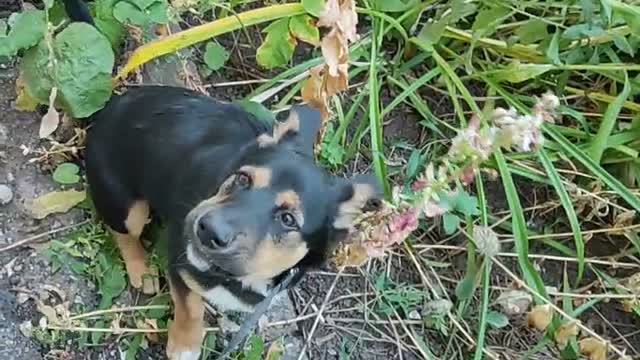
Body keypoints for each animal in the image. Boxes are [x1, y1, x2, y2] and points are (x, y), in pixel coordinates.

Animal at [82, 86, 380, 358]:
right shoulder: (181, 263)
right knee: (123, 232)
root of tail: (110, 107)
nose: (206, 230)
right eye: (242, 178)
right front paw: (184, 346)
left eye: (288, 219)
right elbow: (191, 307)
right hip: (128, 208)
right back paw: (141, 269)